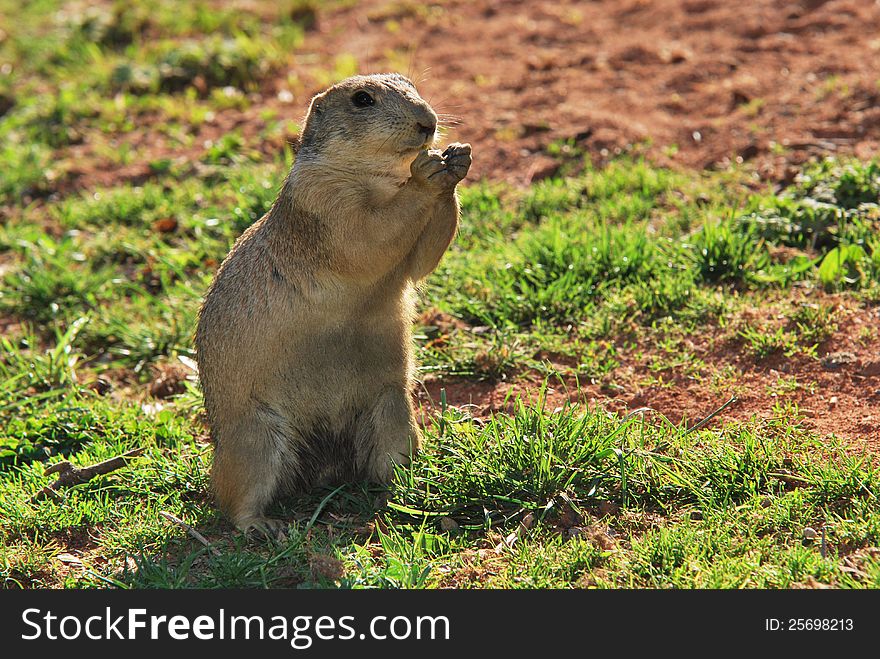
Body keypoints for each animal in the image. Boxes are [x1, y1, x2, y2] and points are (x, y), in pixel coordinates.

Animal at [192, 73, 468, 536]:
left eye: (409, 82)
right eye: (362, 99)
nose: (428, 122)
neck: (377, 177)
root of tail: (322, 470)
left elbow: (420, 259)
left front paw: (458, 160)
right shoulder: (324, 202)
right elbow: (368, 236)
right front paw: (428, 172)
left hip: (392, 409)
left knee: (385, 466)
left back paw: (408, 488)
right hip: (253, 440)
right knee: (231, 501)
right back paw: (263, 525)